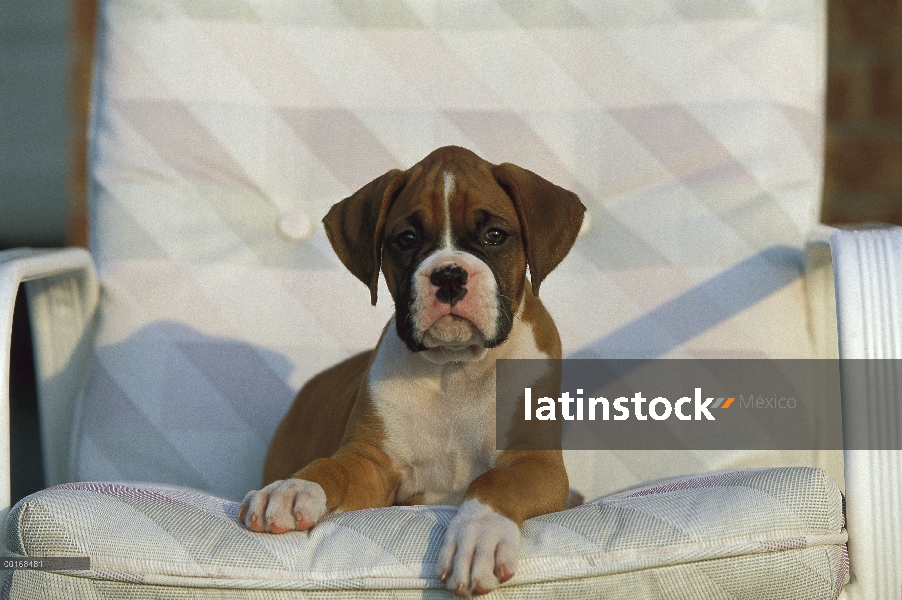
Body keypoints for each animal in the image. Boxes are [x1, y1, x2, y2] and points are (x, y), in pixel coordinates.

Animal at [238, 145, 588, 596]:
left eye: (495, 236)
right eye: (406, 239)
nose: (450, 274)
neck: (455, 368)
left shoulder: (536, 463)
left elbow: (494, 482)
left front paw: (478, 538)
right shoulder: (372, 464)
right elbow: (333, 467)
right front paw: (293, 488)